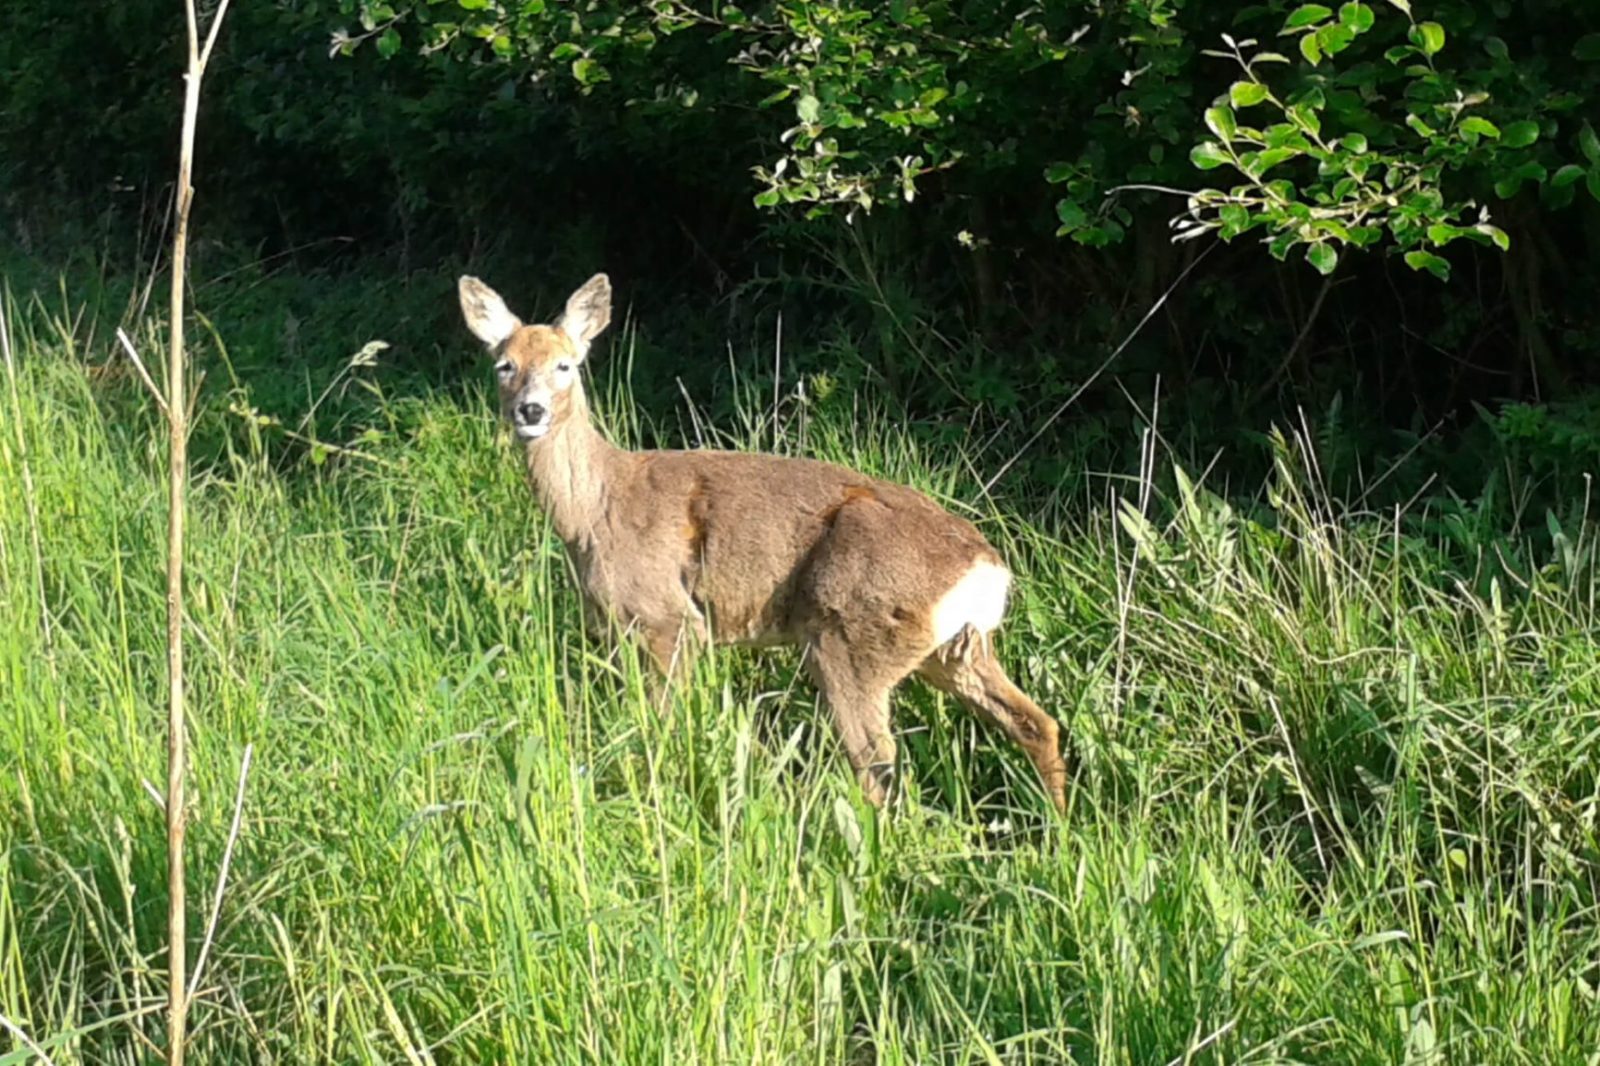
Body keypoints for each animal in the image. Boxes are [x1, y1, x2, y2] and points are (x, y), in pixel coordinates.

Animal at [458, 272, 1068, 812]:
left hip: (853, 637)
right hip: (953, 650)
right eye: (504, 364)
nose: (530, 410)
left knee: (878, 763)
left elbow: (662, 726)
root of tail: (987, 570)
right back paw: (1057, 829)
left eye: (566, 365)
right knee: (1037, 722)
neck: (595, 511)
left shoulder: (670, 620)